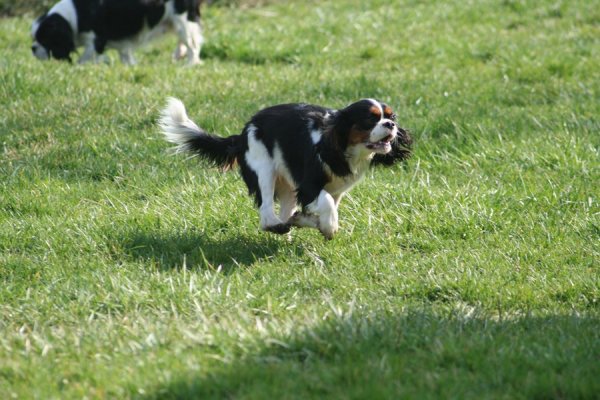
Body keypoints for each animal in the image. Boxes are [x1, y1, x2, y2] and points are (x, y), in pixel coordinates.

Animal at [31, 0, 203, 64]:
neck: (76, 14)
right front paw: (130, 66)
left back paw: (189, 64)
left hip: (182, 19)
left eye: (44, 39)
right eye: (34, 39)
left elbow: (83, 59)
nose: (33, 48)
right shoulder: (122, 44)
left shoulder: (96, 41)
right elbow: (125, 56)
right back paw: (179, 54)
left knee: (192, 44)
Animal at [158, 98, 412, 239]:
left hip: (288, 184)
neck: (338, 143)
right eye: (371, 119)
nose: (390, 124)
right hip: (264, 169)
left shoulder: (336, 188)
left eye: (392, 116)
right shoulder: (309, 186)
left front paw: (318, 223)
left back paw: (294, 223)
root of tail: (241, 133)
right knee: (267, 216)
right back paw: (282, 226)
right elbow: (326, 204)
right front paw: (329, 228)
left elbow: (328, 205)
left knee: (286, 214)